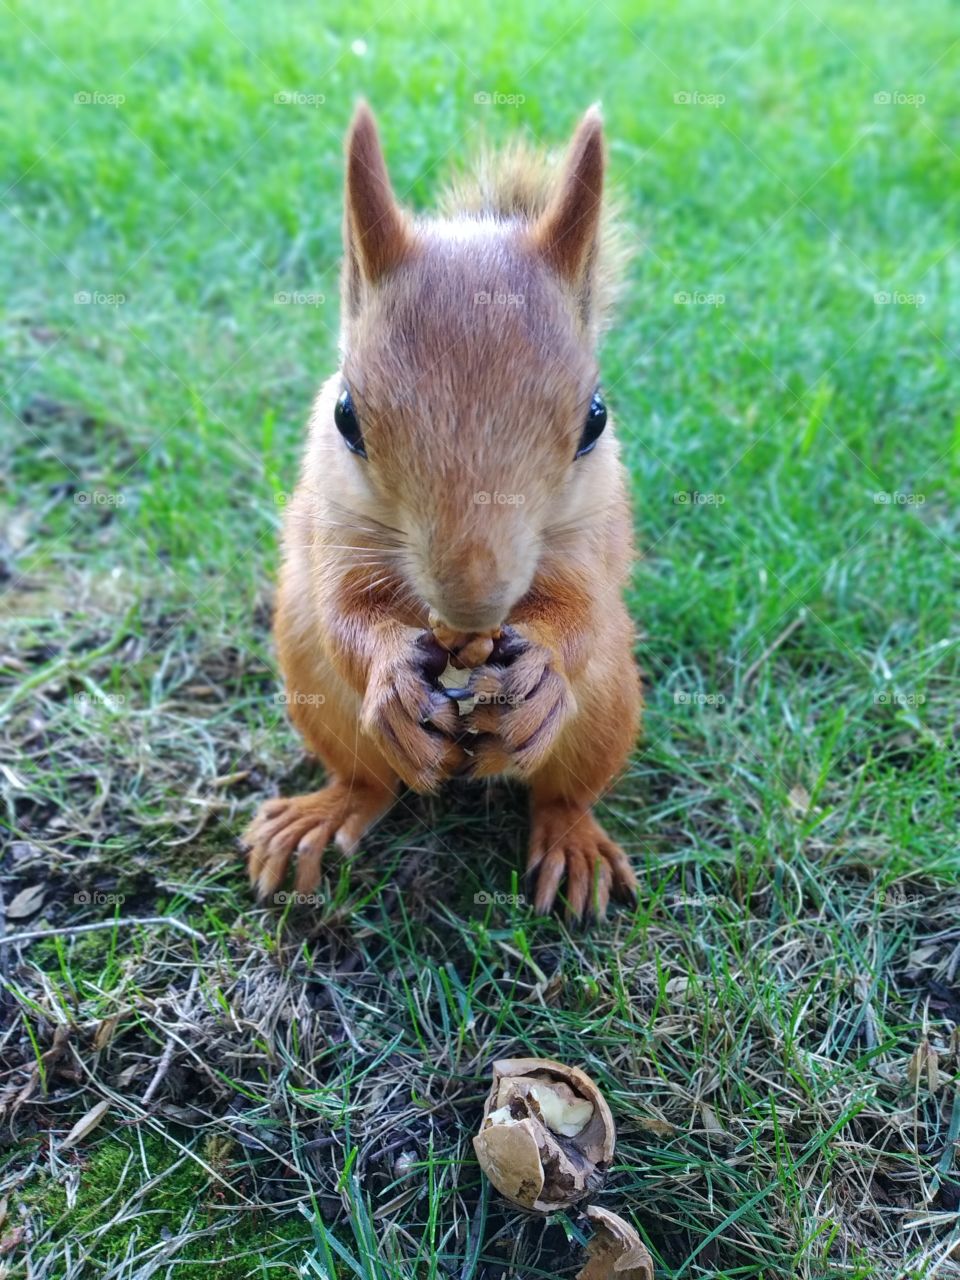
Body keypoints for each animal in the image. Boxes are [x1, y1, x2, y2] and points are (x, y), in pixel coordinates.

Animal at [244, 102, 641, 922]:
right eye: (346, 416)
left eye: (595, 420)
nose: (471, 605)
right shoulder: (335, 526)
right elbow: (343, 608)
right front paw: (393, 675)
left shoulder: (590, 535)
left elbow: (584, 611)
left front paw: (545, 669)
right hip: (314, 689)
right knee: (370, 781)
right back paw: (324, 814)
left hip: (611, 707)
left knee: (563, 793)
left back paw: (573, 841)